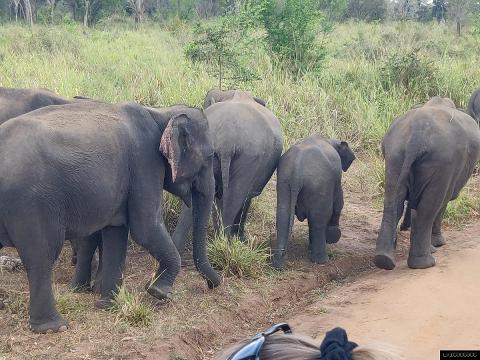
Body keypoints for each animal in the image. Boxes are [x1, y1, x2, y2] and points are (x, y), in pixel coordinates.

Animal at [0, 100, 219, 332]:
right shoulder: (145, 163)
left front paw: (108, 305)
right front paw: (159, 292)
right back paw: (55, 327)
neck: (161, 113)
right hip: (31, 203)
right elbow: (146, 229)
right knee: (41, 254)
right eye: (209, 157)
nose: (212, 285)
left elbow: (117, 231)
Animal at [172, 90, 284, 252]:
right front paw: (241, 239)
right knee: (234, 199)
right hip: (249, 158)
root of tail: (226, 139)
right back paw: (226, 244)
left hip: (202, 152)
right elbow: (244, 199)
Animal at [272, 135, 354, 268]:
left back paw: (278, 263)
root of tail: (296, 171)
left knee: (283, 215)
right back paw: (322, 261)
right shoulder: (336, 179)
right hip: (318, 185)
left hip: (284, 182)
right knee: (318, 220)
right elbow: (338, 203)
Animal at [376, 95, 480, 270]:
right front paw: (437, 245)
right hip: (441, 161)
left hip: (395, 154)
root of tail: (417, 134)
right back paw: (425, 263)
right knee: (429, 206)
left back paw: (384, 260)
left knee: (393, 201)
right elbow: (441, 201)